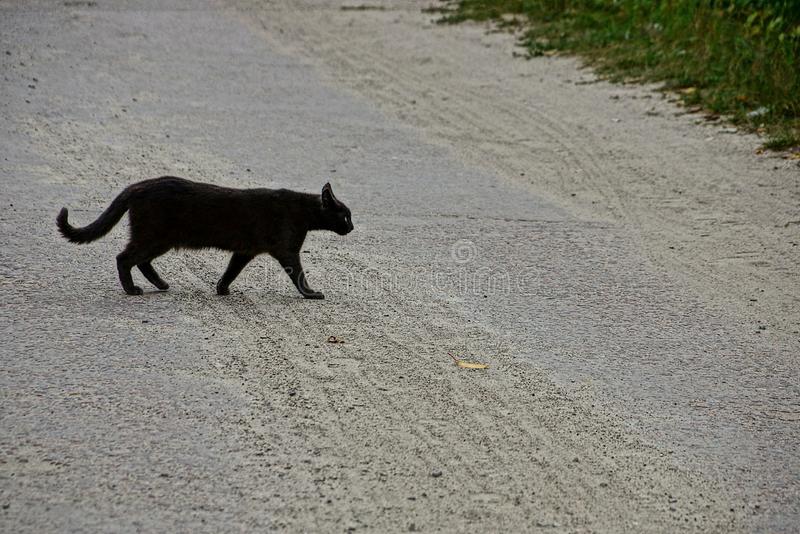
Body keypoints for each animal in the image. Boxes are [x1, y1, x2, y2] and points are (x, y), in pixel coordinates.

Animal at [57, 177, 352, 300]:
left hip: (160, 239)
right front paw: (311, 294)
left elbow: (231, 271)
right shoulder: (287, 250)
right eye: (346, 216)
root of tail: (137, 185)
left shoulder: (245, 251)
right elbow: (299, 275)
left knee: (140, 261)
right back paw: (132, 290)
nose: (352, 227)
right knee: (124, 258)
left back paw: (161, 284)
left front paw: (222, 289)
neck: (303, 211)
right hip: (155, 236)